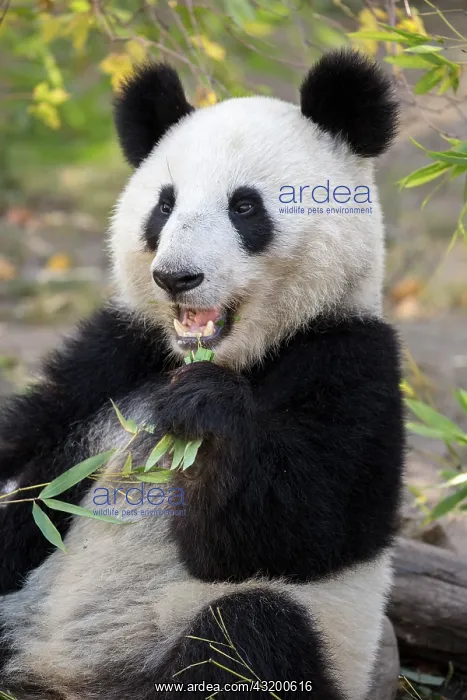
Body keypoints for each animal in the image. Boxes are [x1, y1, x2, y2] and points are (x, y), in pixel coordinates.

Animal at [0, 49, 403, 700]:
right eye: (164, 205)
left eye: (245, 206)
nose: (176, 277)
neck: (241, 354)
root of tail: (63, 681)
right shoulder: (116, 354)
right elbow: (32, 453)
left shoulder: (352, 358)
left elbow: (302, 521)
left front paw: (203, 410)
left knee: (249, 631)